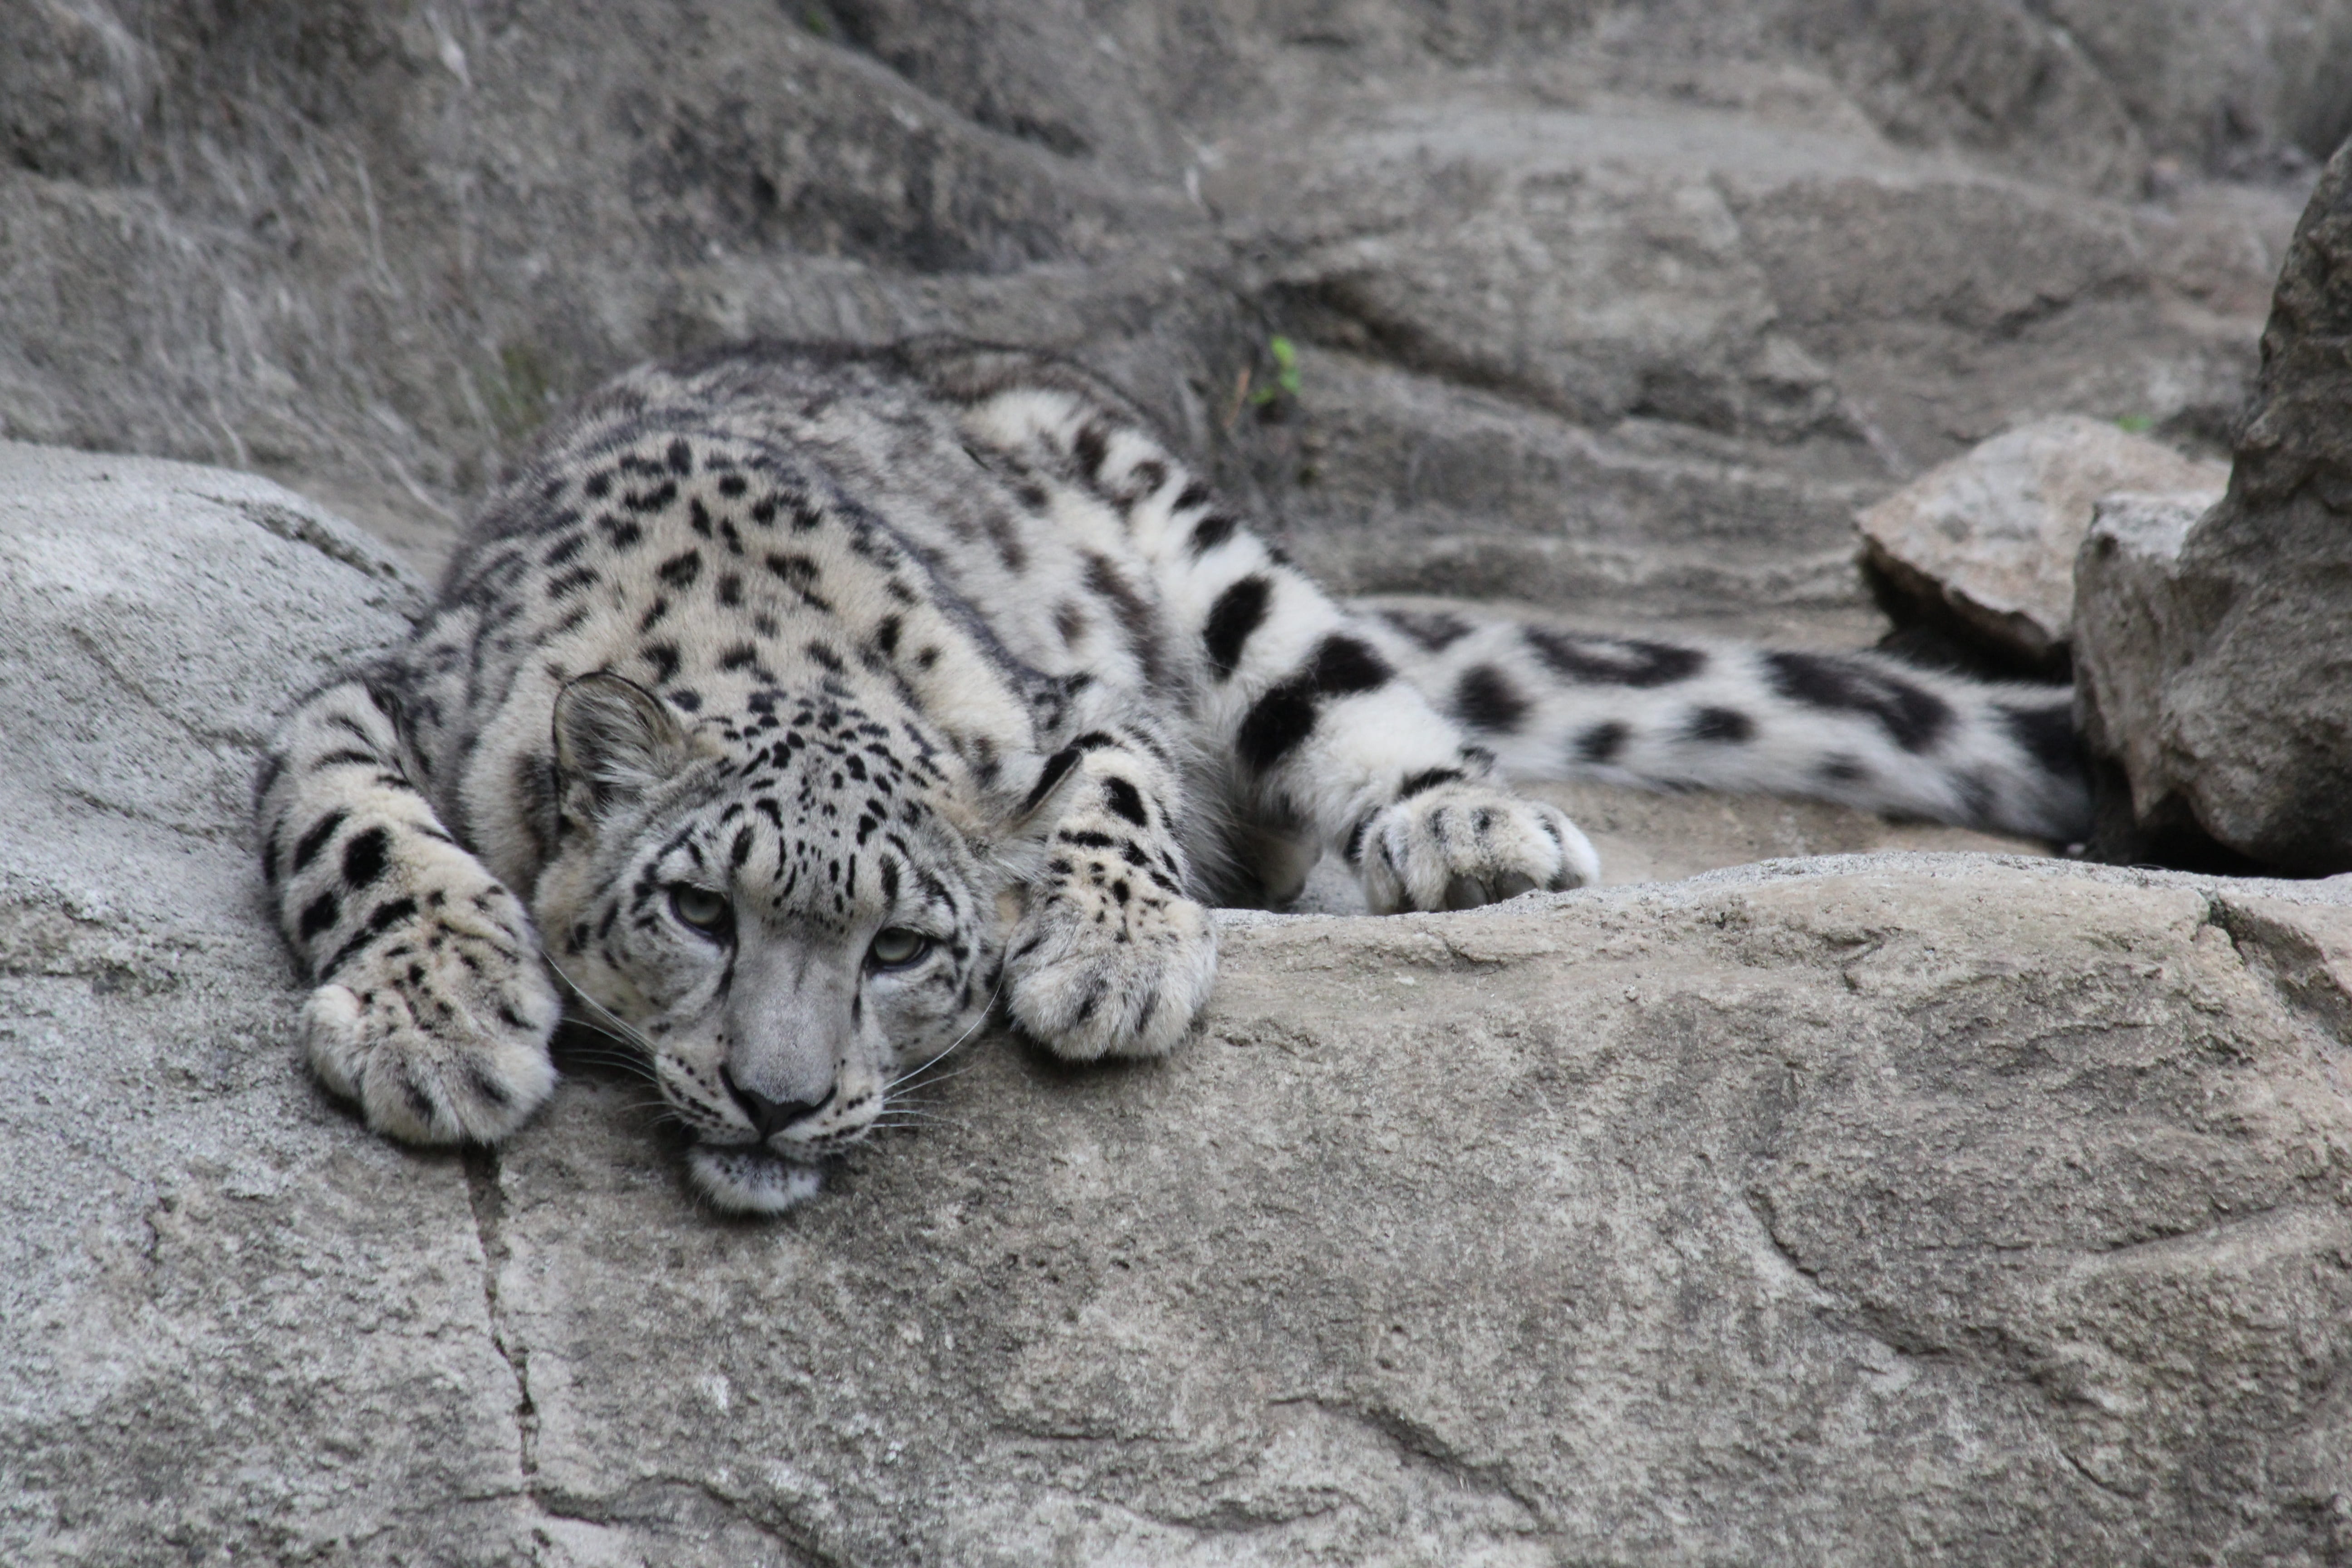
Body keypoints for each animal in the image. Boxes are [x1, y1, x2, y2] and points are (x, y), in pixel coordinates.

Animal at [256, 337, 2088, 1214]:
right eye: (699, 908)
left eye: (904, 947)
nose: (778, 1098)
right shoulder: (367, 705)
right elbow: (359, 832)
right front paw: (442, 1022)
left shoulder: (1068, 701)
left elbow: (1113, 793)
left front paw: (1114, 959)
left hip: (1208, 550)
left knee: (1355, 698)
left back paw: (1463, 835)